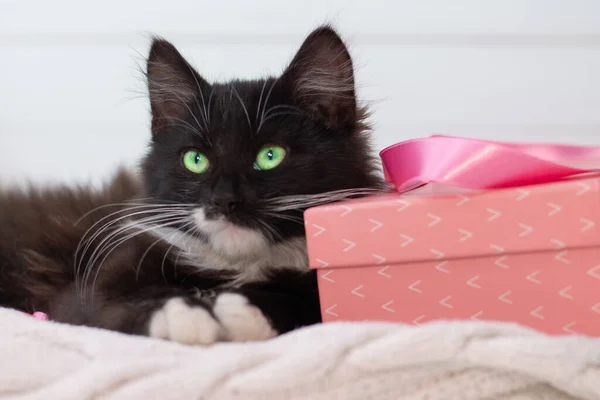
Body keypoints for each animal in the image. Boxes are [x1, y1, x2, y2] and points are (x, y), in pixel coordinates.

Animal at [0, 25, 384, 344]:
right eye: (195, 160)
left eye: (270, 155)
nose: (223, 200)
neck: (234, 268)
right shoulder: (86, 289)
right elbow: (111, 303)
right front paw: (183, 315)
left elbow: (307, 304)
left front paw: (239, 310)